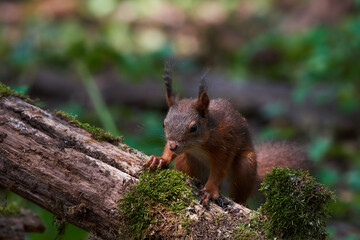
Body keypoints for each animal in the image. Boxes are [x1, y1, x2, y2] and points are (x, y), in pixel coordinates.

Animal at [145, 61, 306, 204]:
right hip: (185, 160)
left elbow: (219, 170)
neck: (199, 144)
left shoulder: (225, 144)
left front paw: (210, 190)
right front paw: (161, 159)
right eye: (164, 123)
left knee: (240, 193)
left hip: (246, 167)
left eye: (194, 127)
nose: (173, 146)